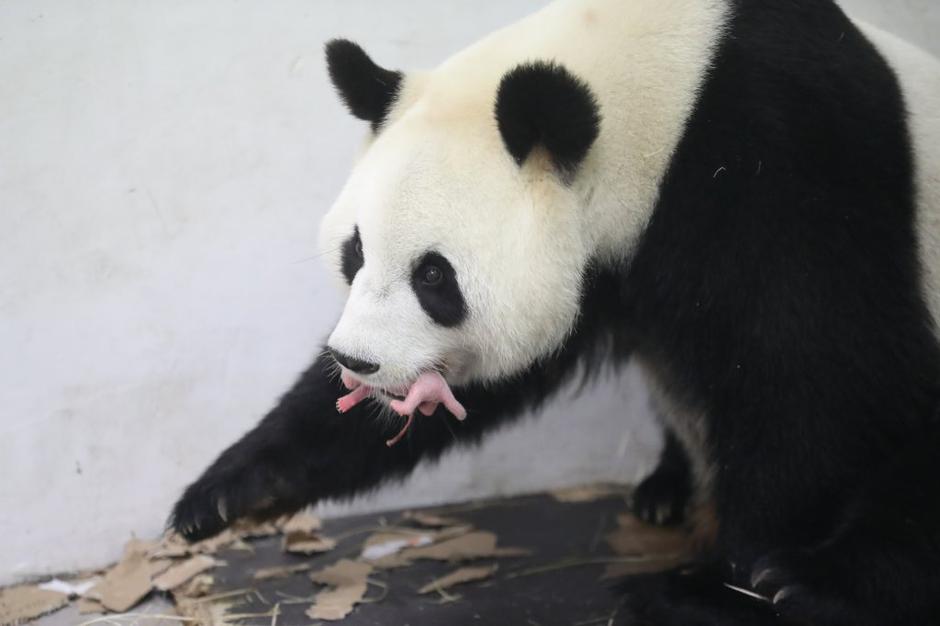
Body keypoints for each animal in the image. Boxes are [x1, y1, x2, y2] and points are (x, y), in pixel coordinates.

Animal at [170, 0, 940, 624]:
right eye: (353, 253)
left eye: (433, 275)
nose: (358, 362)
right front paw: (227, 494)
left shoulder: (789, 162)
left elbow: (812, 377)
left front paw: (734, 581)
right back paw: (666, 490)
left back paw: (802, 583)